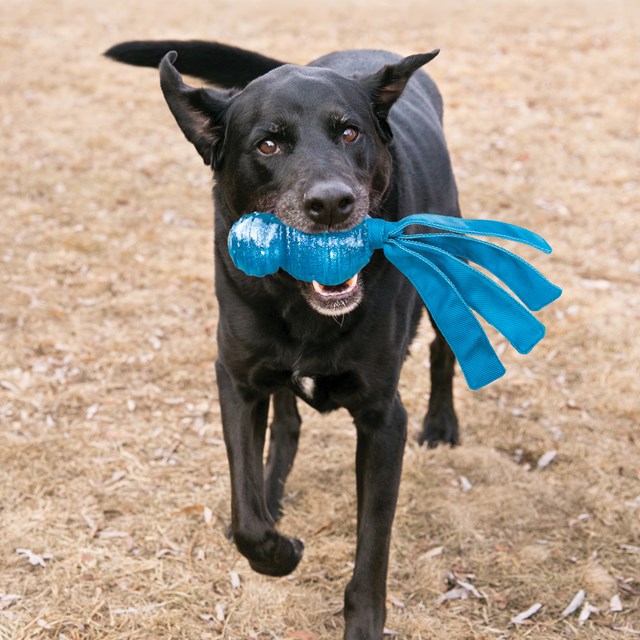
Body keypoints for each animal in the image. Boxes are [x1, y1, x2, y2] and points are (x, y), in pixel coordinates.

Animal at [107, 41, 462, 640]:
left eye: (350, 133)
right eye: (267, 144)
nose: (332, 203)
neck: (300, 303)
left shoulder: (383, 419)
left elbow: (372, 546)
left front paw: (362, 625)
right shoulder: (237, 380)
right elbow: (244, 512)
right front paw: (278, 549)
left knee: (444, 348)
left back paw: (442, 423)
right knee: (287, 421)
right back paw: (273, 488)